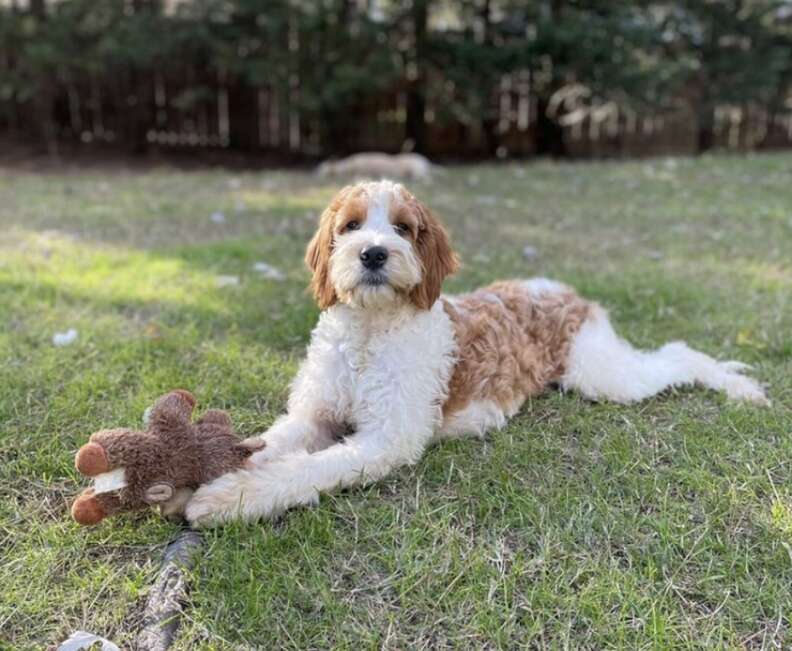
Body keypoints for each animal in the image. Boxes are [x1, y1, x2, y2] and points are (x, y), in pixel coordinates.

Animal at [184, 181, 768, 528]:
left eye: (403, 228)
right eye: (350, 225)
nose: (373, 253)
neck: (370, 333)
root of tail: (559, 289)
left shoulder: (385, 439)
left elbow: (305, 469)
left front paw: (227, 498)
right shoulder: (313, 414)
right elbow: (269, 445)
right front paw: (216, 471)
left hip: (602, 374)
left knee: (678, 355)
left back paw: (740, 386)